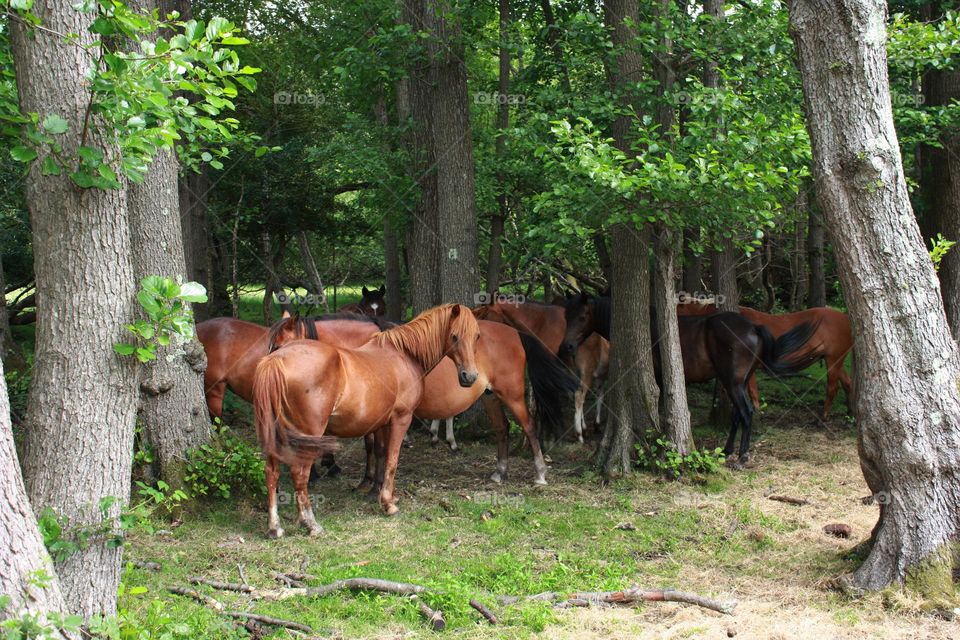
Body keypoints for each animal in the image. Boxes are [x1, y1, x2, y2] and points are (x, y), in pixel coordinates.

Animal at [252, 304, 480, 537]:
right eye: (454, 336)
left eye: (476, 336)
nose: (469, 376)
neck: (403, 354)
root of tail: (276, 362)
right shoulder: (401, 419)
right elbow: (392, 459)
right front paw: (388, 503)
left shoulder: (381, 423)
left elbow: (380, 453)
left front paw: (381, 492)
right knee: (299, 474)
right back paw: (311, 523)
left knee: (272, 473)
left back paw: (275, 527)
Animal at [271, 316, 577, 486]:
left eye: (282, 346)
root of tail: (514, 332)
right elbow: (373, 447)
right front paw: (367, 482)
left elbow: (378, 448)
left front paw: (374, 484)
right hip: (490, 396)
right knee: (502, 429)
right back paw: (500, 472)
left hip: (512, 395)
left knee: (529, 426)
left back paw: (540, 473)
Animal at [563, 294, 820, 464]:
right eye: (567, 316)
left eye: (583, 316)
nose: (568, 346)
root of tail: (754, 328)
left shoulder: (659, 379)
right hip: (738, 382)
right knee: (738, 415)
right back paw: (727, 451)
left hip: (734, 383)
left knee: (746, 413)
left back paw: (742, 456)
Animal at [676, 302, 853, 419]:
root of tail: (846, 318)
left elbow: (753, 391)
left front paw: (757, 412)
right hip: (837, 359)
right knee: (847, 383)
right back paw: (850, 412)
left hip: (833, 359)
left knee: (833, 387)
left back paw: (823, 415)